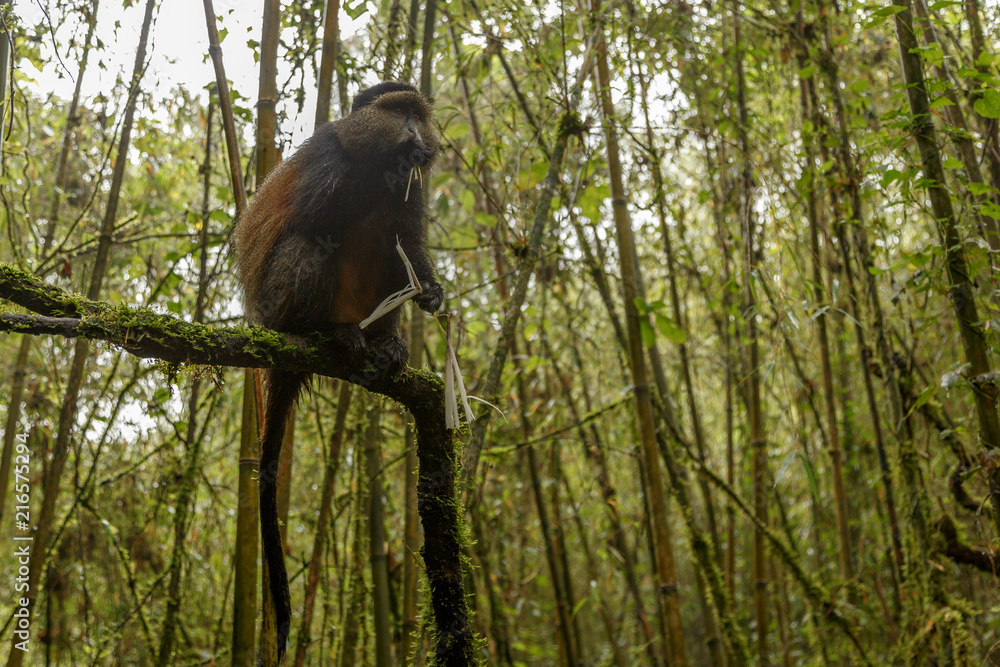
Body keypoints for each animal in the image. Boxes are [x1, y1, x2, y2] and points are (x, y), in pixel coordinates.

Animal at [232, 81, 442, 662]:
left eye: (418, 114)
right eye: (397, 112)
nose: (414, 136)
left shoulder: (412, 190)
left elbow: (409, 246)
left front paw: (432, 290)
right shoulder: (333, 159)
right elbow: (313, 224)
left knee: (391, 259)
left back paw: (384, 344)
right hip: (279, 305)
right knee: (307, 243)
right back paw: (326, 332)